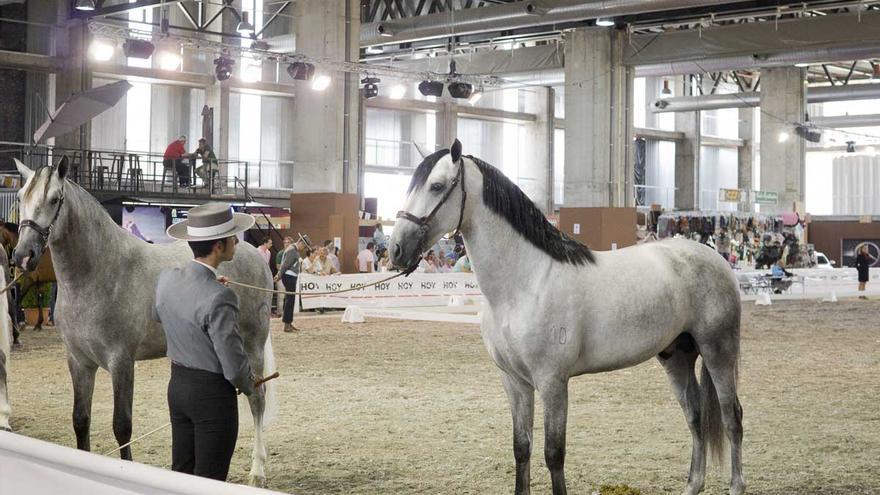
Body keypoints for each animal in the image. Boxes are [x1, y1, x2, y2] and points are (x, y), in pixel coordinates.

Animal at [390, 140, 744, 495]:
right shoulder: (514, 381)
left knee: (732, 417)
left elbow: (553, 453)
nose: (396, 250)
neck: (525, 282)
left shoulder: (552, 382)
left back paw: (736, 485)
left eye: (436, 186)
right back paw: (692, 484)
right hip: (676, 355)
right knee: (695, 417)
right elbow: (522, 447)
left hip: (718, 351)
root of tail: (714, 258)